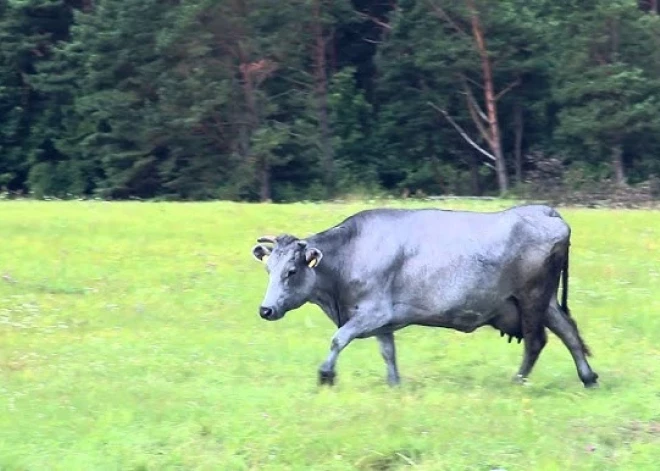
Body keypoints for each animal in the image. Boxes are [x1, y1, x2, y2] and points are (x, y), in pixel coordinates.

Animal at [250, 205, 600, 390]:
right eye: (268, 269)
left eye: (291, 271)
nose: (266, 310)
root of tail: (545, 211)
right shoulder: (382, 323)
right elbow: (387, 352)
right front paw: (394, 384)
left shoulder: (373, 313)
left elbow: (339, 339)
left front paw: (325, 374)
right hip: (545, 302)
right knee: (569, 333)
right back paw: (588, 378)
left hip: (532, 298)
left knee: (536, 341)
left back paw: (516, 381)